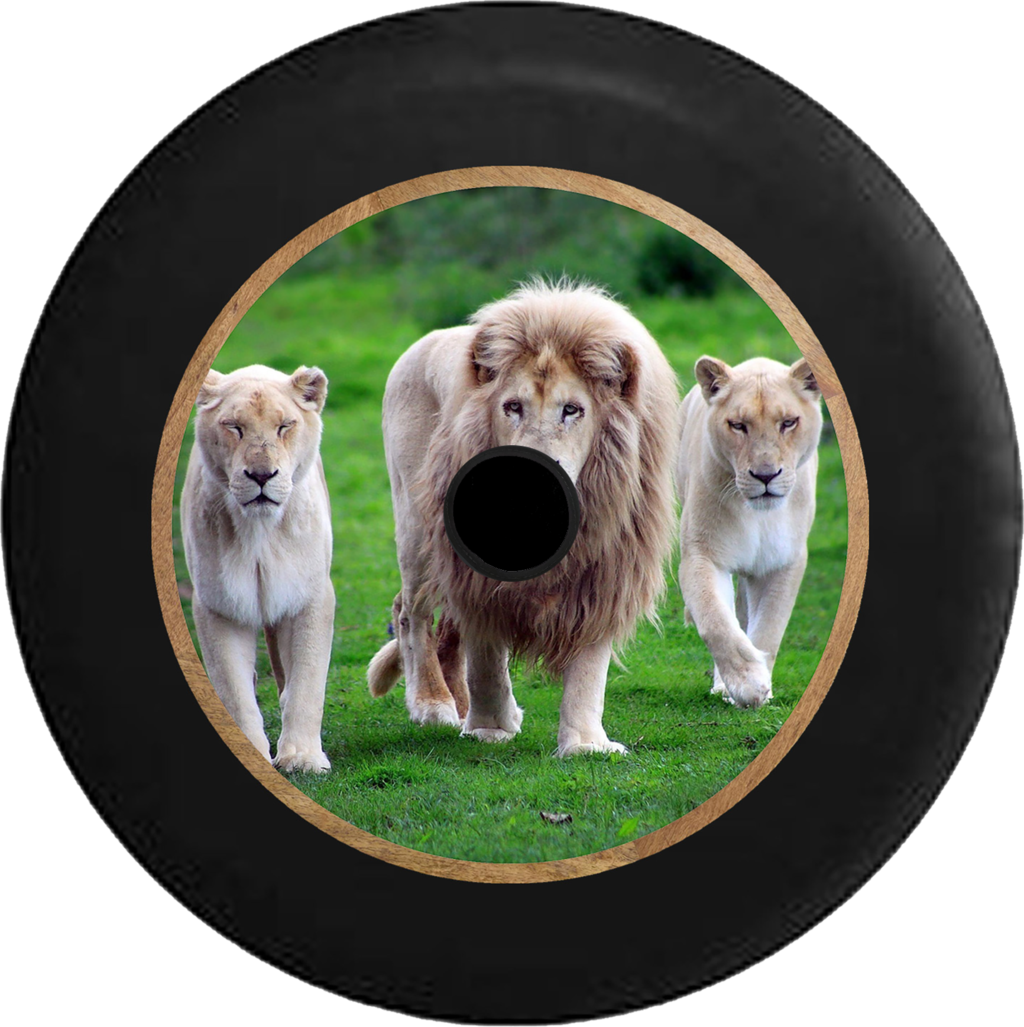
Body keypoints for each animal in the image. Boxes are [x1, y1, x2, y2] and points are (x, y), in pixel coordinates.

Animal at [181, 364, 335, 773]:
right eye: (234, 427)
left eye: (284, 426)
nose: (262, 476)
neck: (260, 532)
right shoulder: (220, 605)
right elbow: (234, 690)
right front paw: (251, 752)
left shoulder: (310, 596)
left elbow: (307, 682)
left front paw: (302, 758)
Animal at [367, 281, 679, 756]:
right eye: (512, 407)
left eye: (572, 409)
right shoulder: (474, 575)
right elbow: (486, 657)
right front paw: (490, 728)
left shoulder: (606, 572)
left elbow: (589, 666)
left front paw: (585, 744)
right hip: (418, 529)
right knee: (411, 613)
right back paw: (433, 704)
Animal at [676, 355, 822, 709]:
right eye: (738, 425)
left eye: (788, 423)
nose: (765, 475)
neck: (758, 516)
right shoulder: (702, 555)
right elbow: (716, 621)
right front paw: (747, 683)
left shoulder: (783, 562)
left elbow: (770, 628)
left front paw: (761, 686)